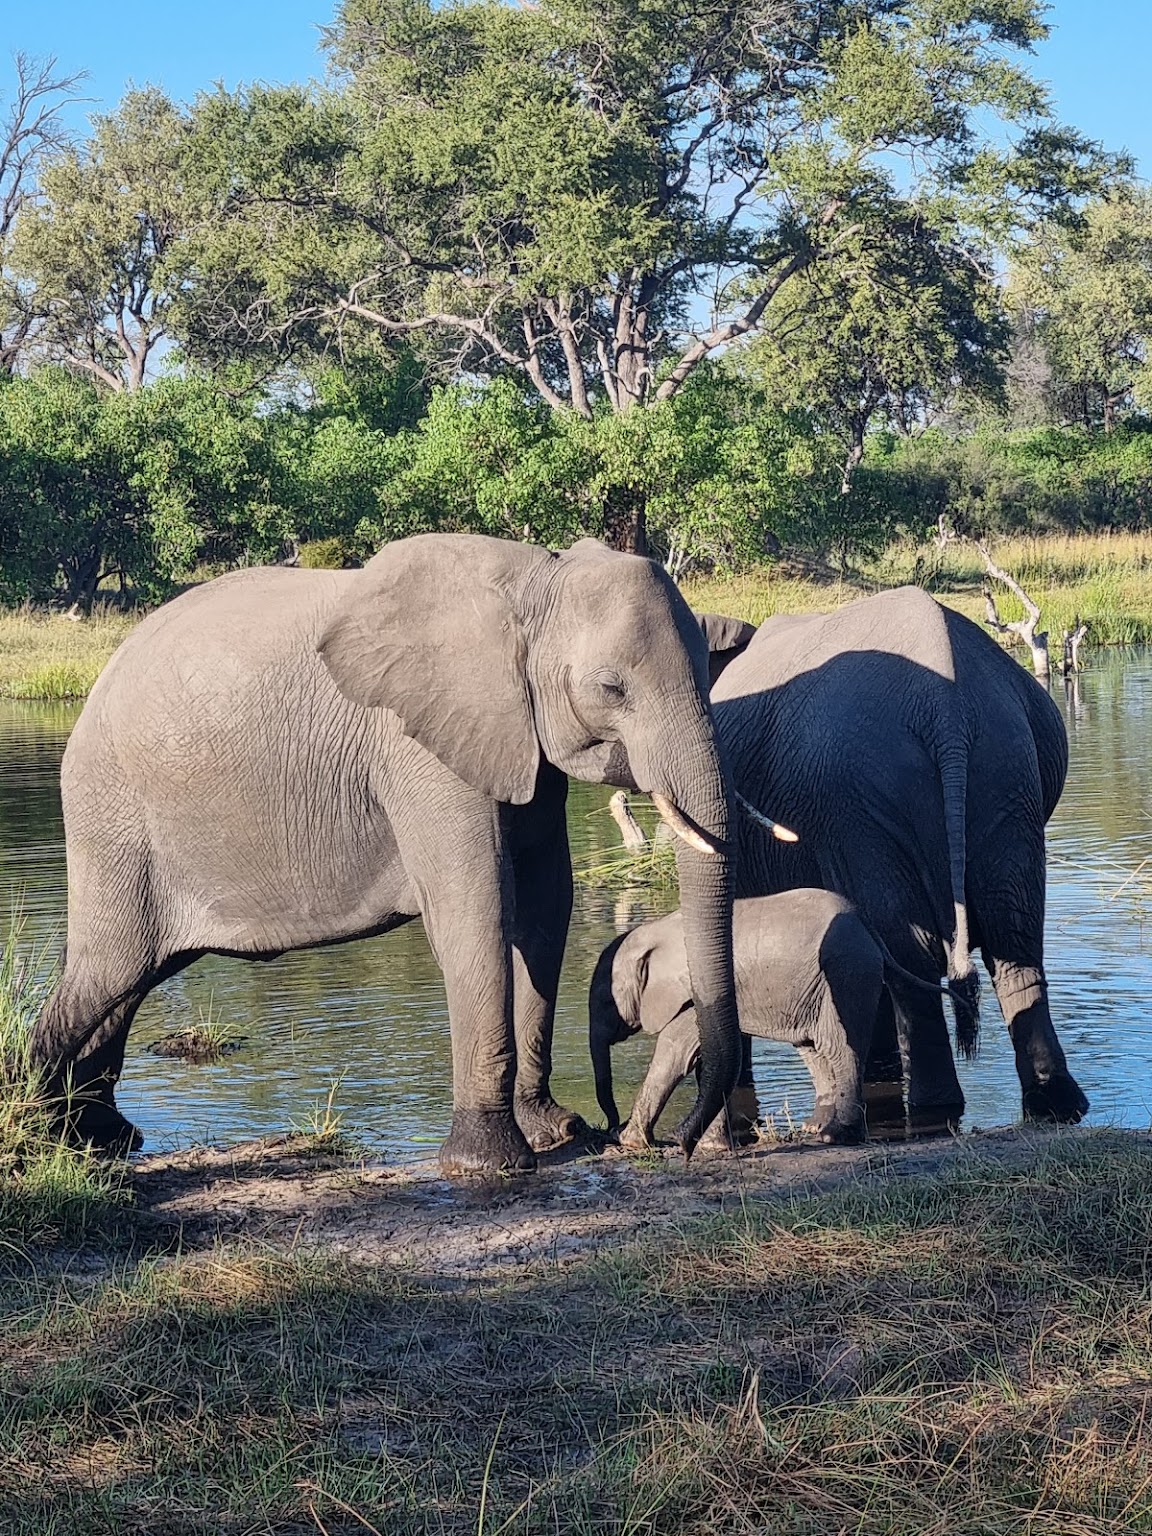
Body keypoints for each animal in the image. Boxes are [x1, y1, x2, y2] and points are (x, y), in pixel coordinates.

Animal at [30, 533, 752, 1175]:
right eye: (612, 689)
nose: (676, 1143)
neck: (534, 580)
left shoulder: (519, 739)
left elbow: (545, 907)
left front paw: (555, 1133)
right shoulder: (419, 748)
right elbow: (476, 907)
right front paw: (490, 1163)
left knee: (131, 982)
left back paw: (104, 1139)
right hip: (115, 817)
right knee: (111, 969)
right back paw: (48, 1137)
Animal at [589, 890, 968, 1148]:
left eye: (607, 1000)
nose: (610, 1125)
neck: (654, 932)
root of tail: (869, 929)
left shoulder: (691, 993)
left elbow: (675, 1051)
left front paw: (629, 1142)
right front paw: (711, 1146)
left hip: (846, 970)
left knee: (837, 1047)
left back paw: (834, 1136)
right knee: (812, 1048)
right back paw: (815, 1128)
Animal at [704, 585, 1087, 1129]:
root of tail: (947, 708)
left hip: (863, 793)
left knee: (915, 950)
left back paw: (932, 1112)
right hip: (1006, 771)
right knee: (1014, 935)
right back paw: (1054, 1104)